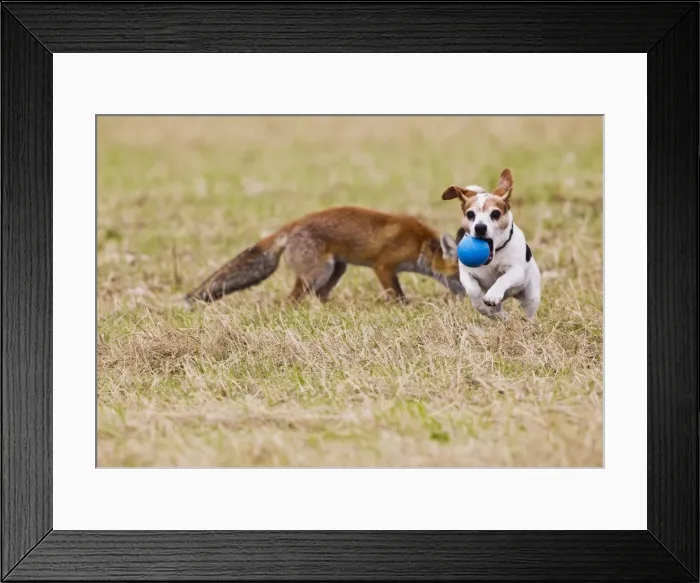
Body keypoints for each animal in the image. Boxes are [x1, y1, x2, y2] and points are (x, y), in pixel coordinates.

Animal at [183, 205, 465, 306]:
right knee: (292, 299)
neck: (420, 243)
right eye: (462, 277)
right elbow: (397, 294)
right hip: (318, 272)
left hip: (336, 269)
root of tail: (293, 224)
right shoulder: (383, 266)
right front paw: (405, 307)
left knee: (319, 295)